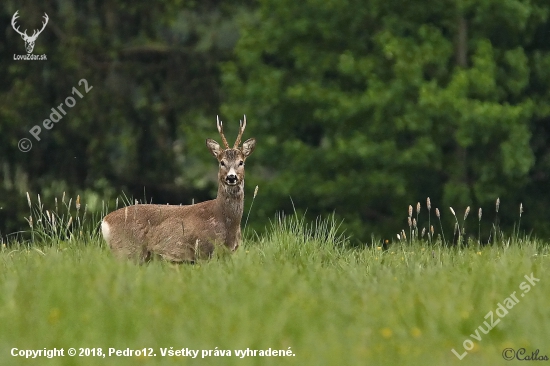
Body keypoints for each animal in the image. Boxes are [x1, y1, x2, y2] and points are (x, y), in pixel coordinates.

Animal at [101, 116, 256, 262]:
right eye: (222, 162)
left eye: (241, 162)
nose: (231, 177)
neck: (225, 221)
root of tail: (105, 222)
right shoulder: (203, 249)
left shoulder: (227, 253)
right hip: (127, 250)